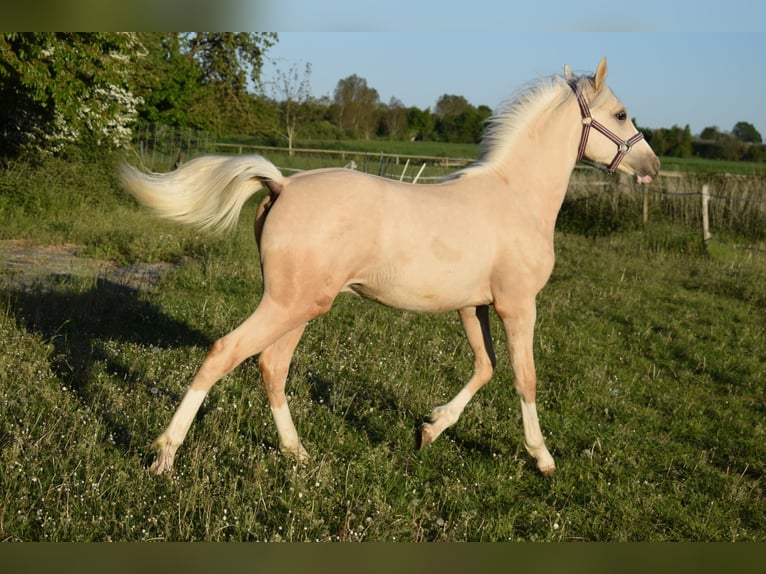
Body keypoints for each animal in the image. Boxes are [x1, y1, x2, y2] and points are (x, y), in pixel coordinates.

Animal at [120, 58, 660, 476]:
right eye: (621, 113)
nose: (651, 167)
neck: (516, 198)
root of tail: (283, 184)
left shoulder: (474, 307)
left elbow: (484, 368)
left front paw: (429, 430)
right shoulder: (517, 305)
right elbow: (524, 377)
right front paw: (542, 458)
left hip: (299, 307)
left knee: (271, 366)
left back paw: (297, 453)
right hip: (288, 304)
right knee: (224, 353)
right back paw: (165, 455)